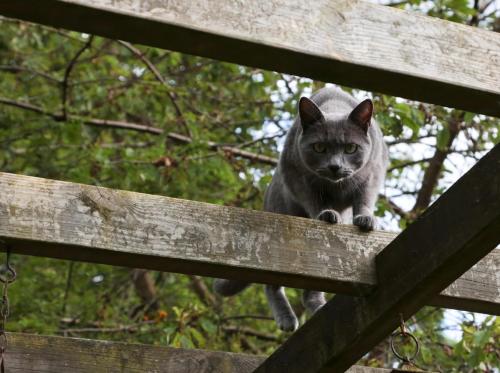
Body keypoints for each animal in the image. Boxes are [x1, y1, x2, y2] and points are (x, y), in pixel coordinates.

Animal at [213, 87, 388, 332]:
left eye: (351, 148)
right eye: (319, 147)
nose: (335, 166)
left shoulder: (373, 173)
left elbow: (364, 199)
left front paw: (365, 219)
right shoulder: (296, 175)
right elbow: (314, 200)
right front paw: (326, 214)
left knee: (310, 287)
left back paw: (318, 308)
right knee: (271, 284)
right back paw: (286, 319)